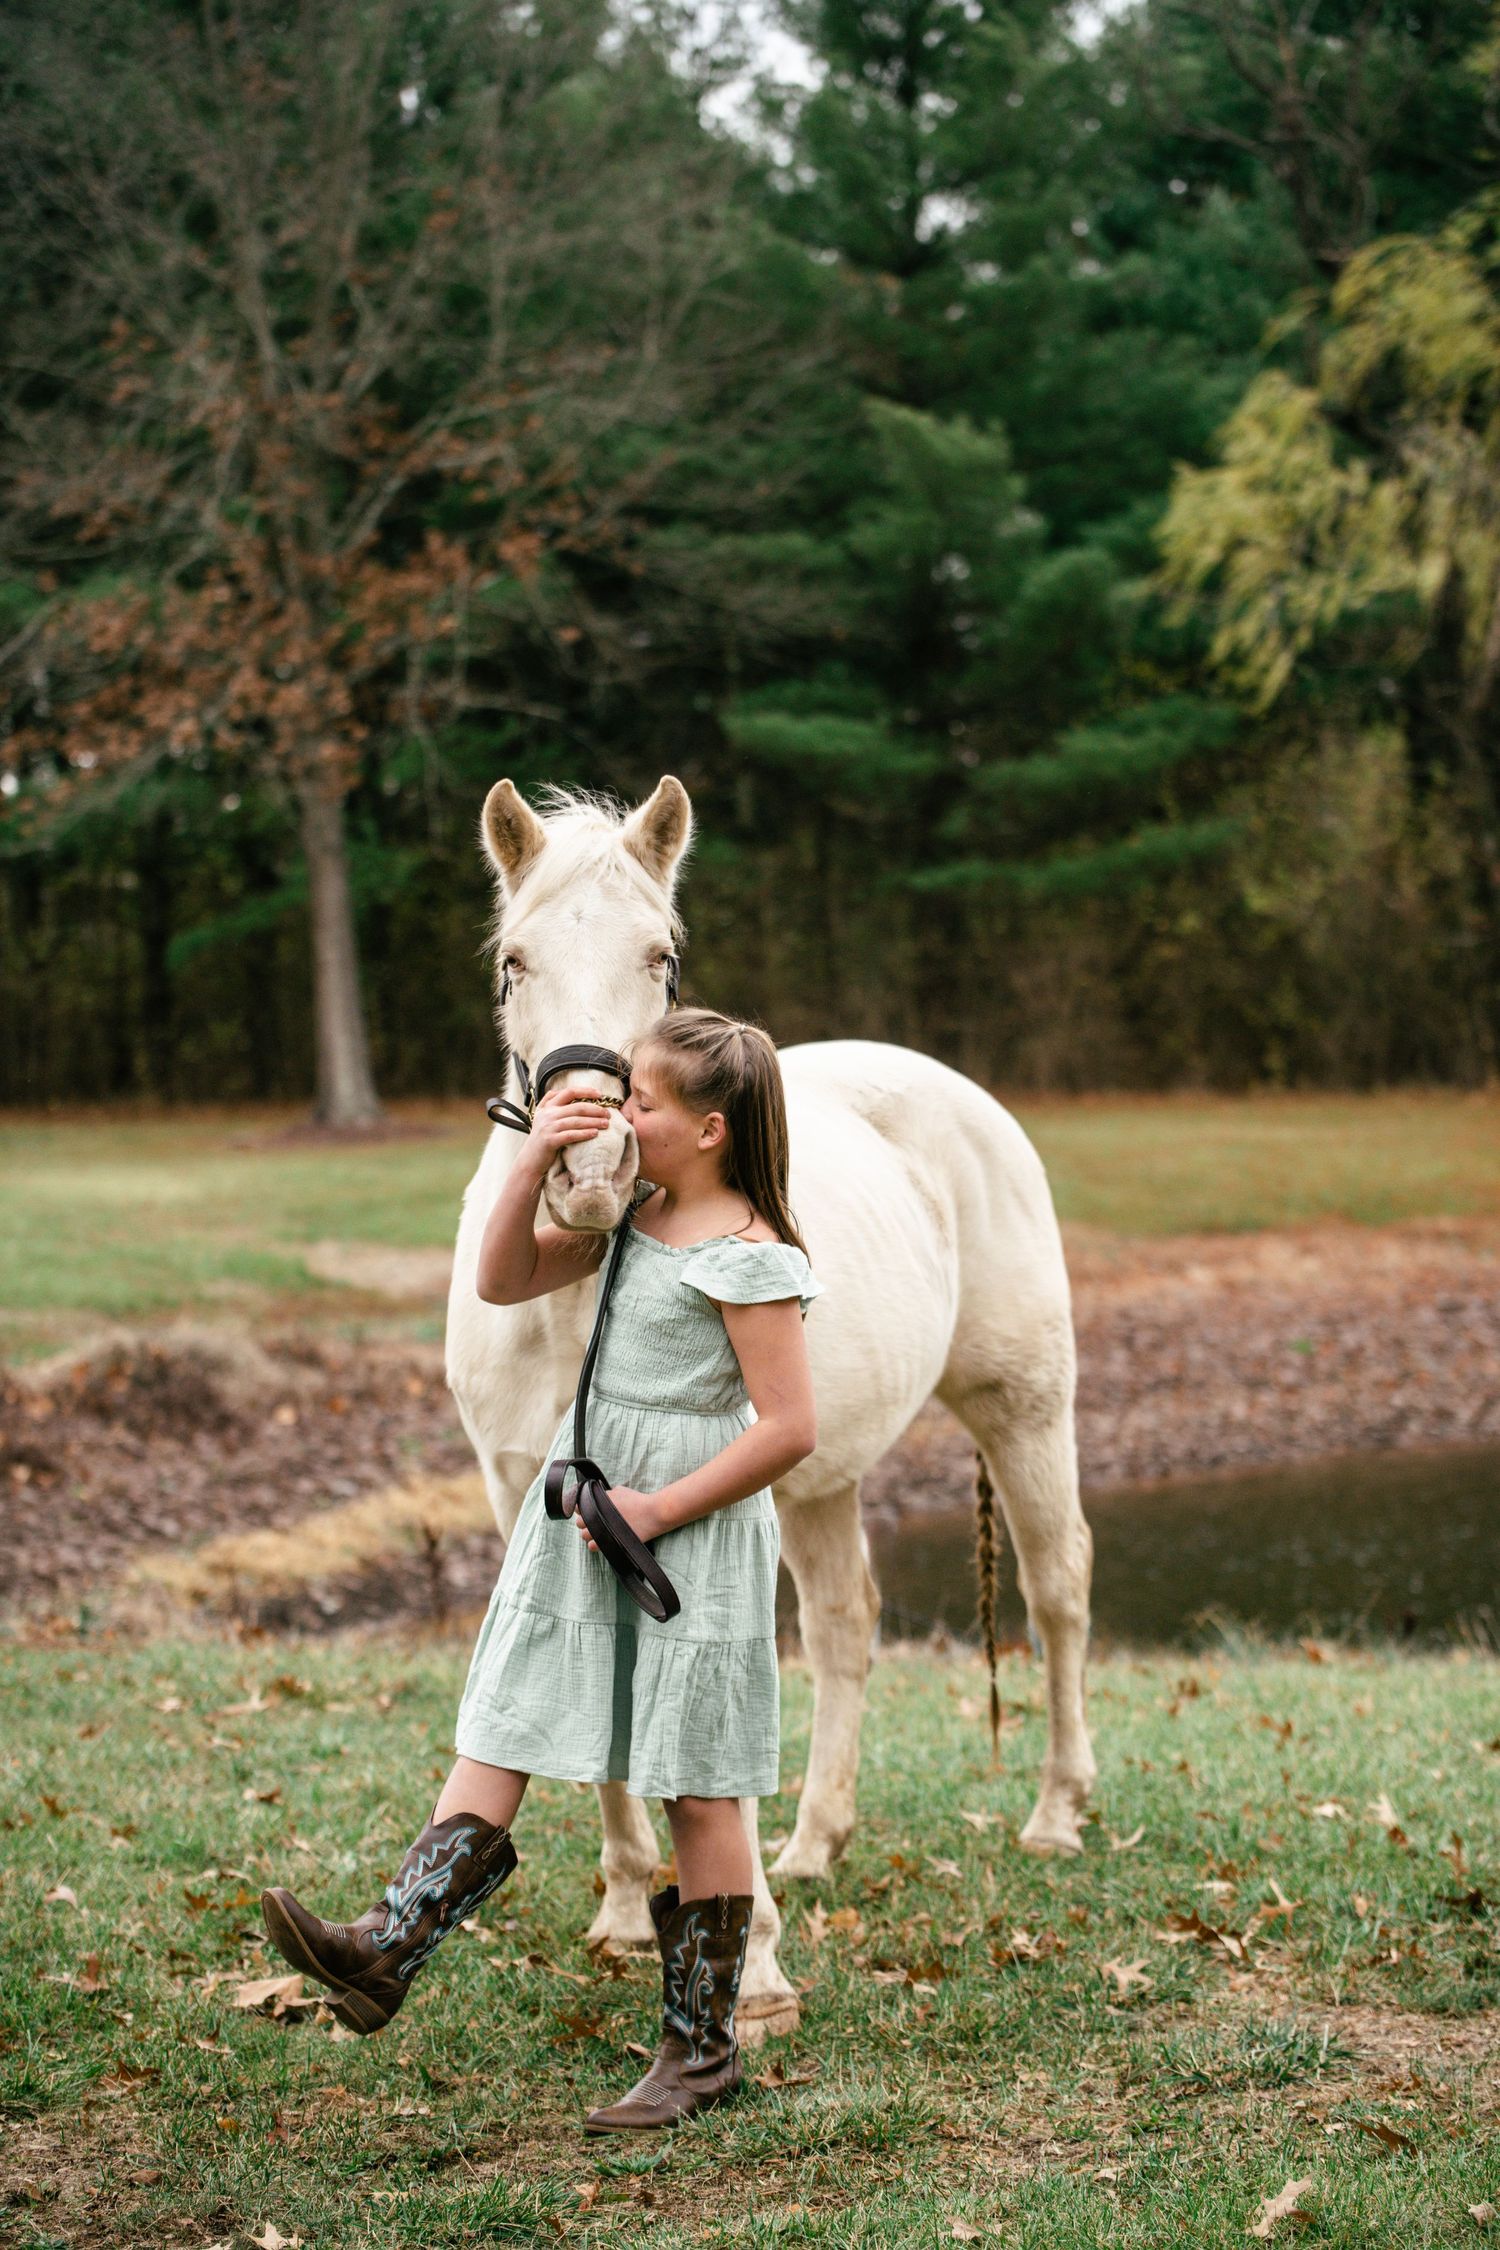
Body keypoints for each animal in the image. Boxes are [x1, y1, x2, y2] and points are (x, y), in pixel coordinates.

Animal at [445, 773, 1096, 2037]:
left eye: (663, 957)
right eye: (512, 961)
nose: (589, 1172)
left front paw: (751, 1966)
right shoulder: (530, 1498)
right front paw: (622, 1902)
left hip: (1023, 1408)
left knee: (1058, 1589)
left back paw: (1055, 1814)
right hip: (822, 1481)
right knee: (847, 1622)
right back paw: (813, 1842)